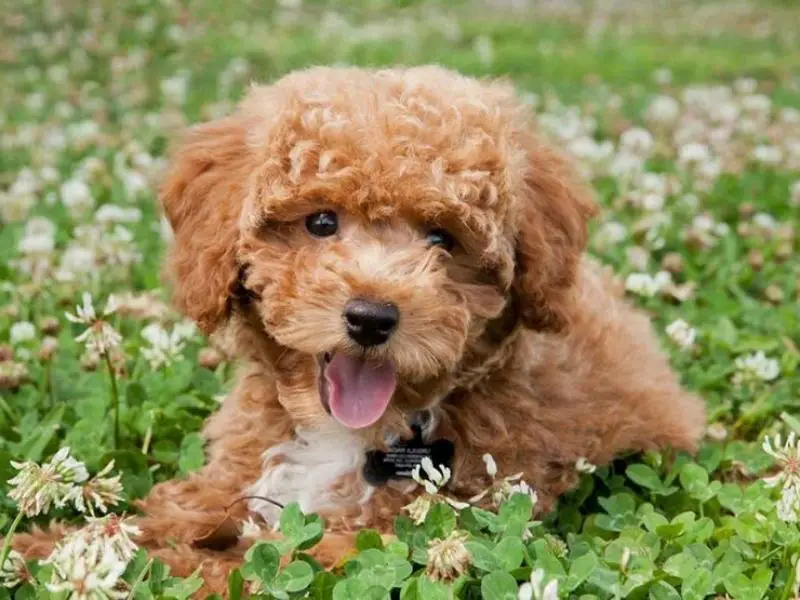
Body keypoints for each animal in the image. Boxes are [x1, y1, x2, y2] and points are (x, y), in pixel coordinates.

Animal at [12, 67, 704, 596]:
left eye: (441, 238)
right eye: (321, 222)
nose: (371, 317)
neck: (343, 431)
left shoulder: (372, 538)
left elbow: (231, 568)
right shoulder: (232, 476)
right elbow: (168, 514)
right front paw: (50, 547)